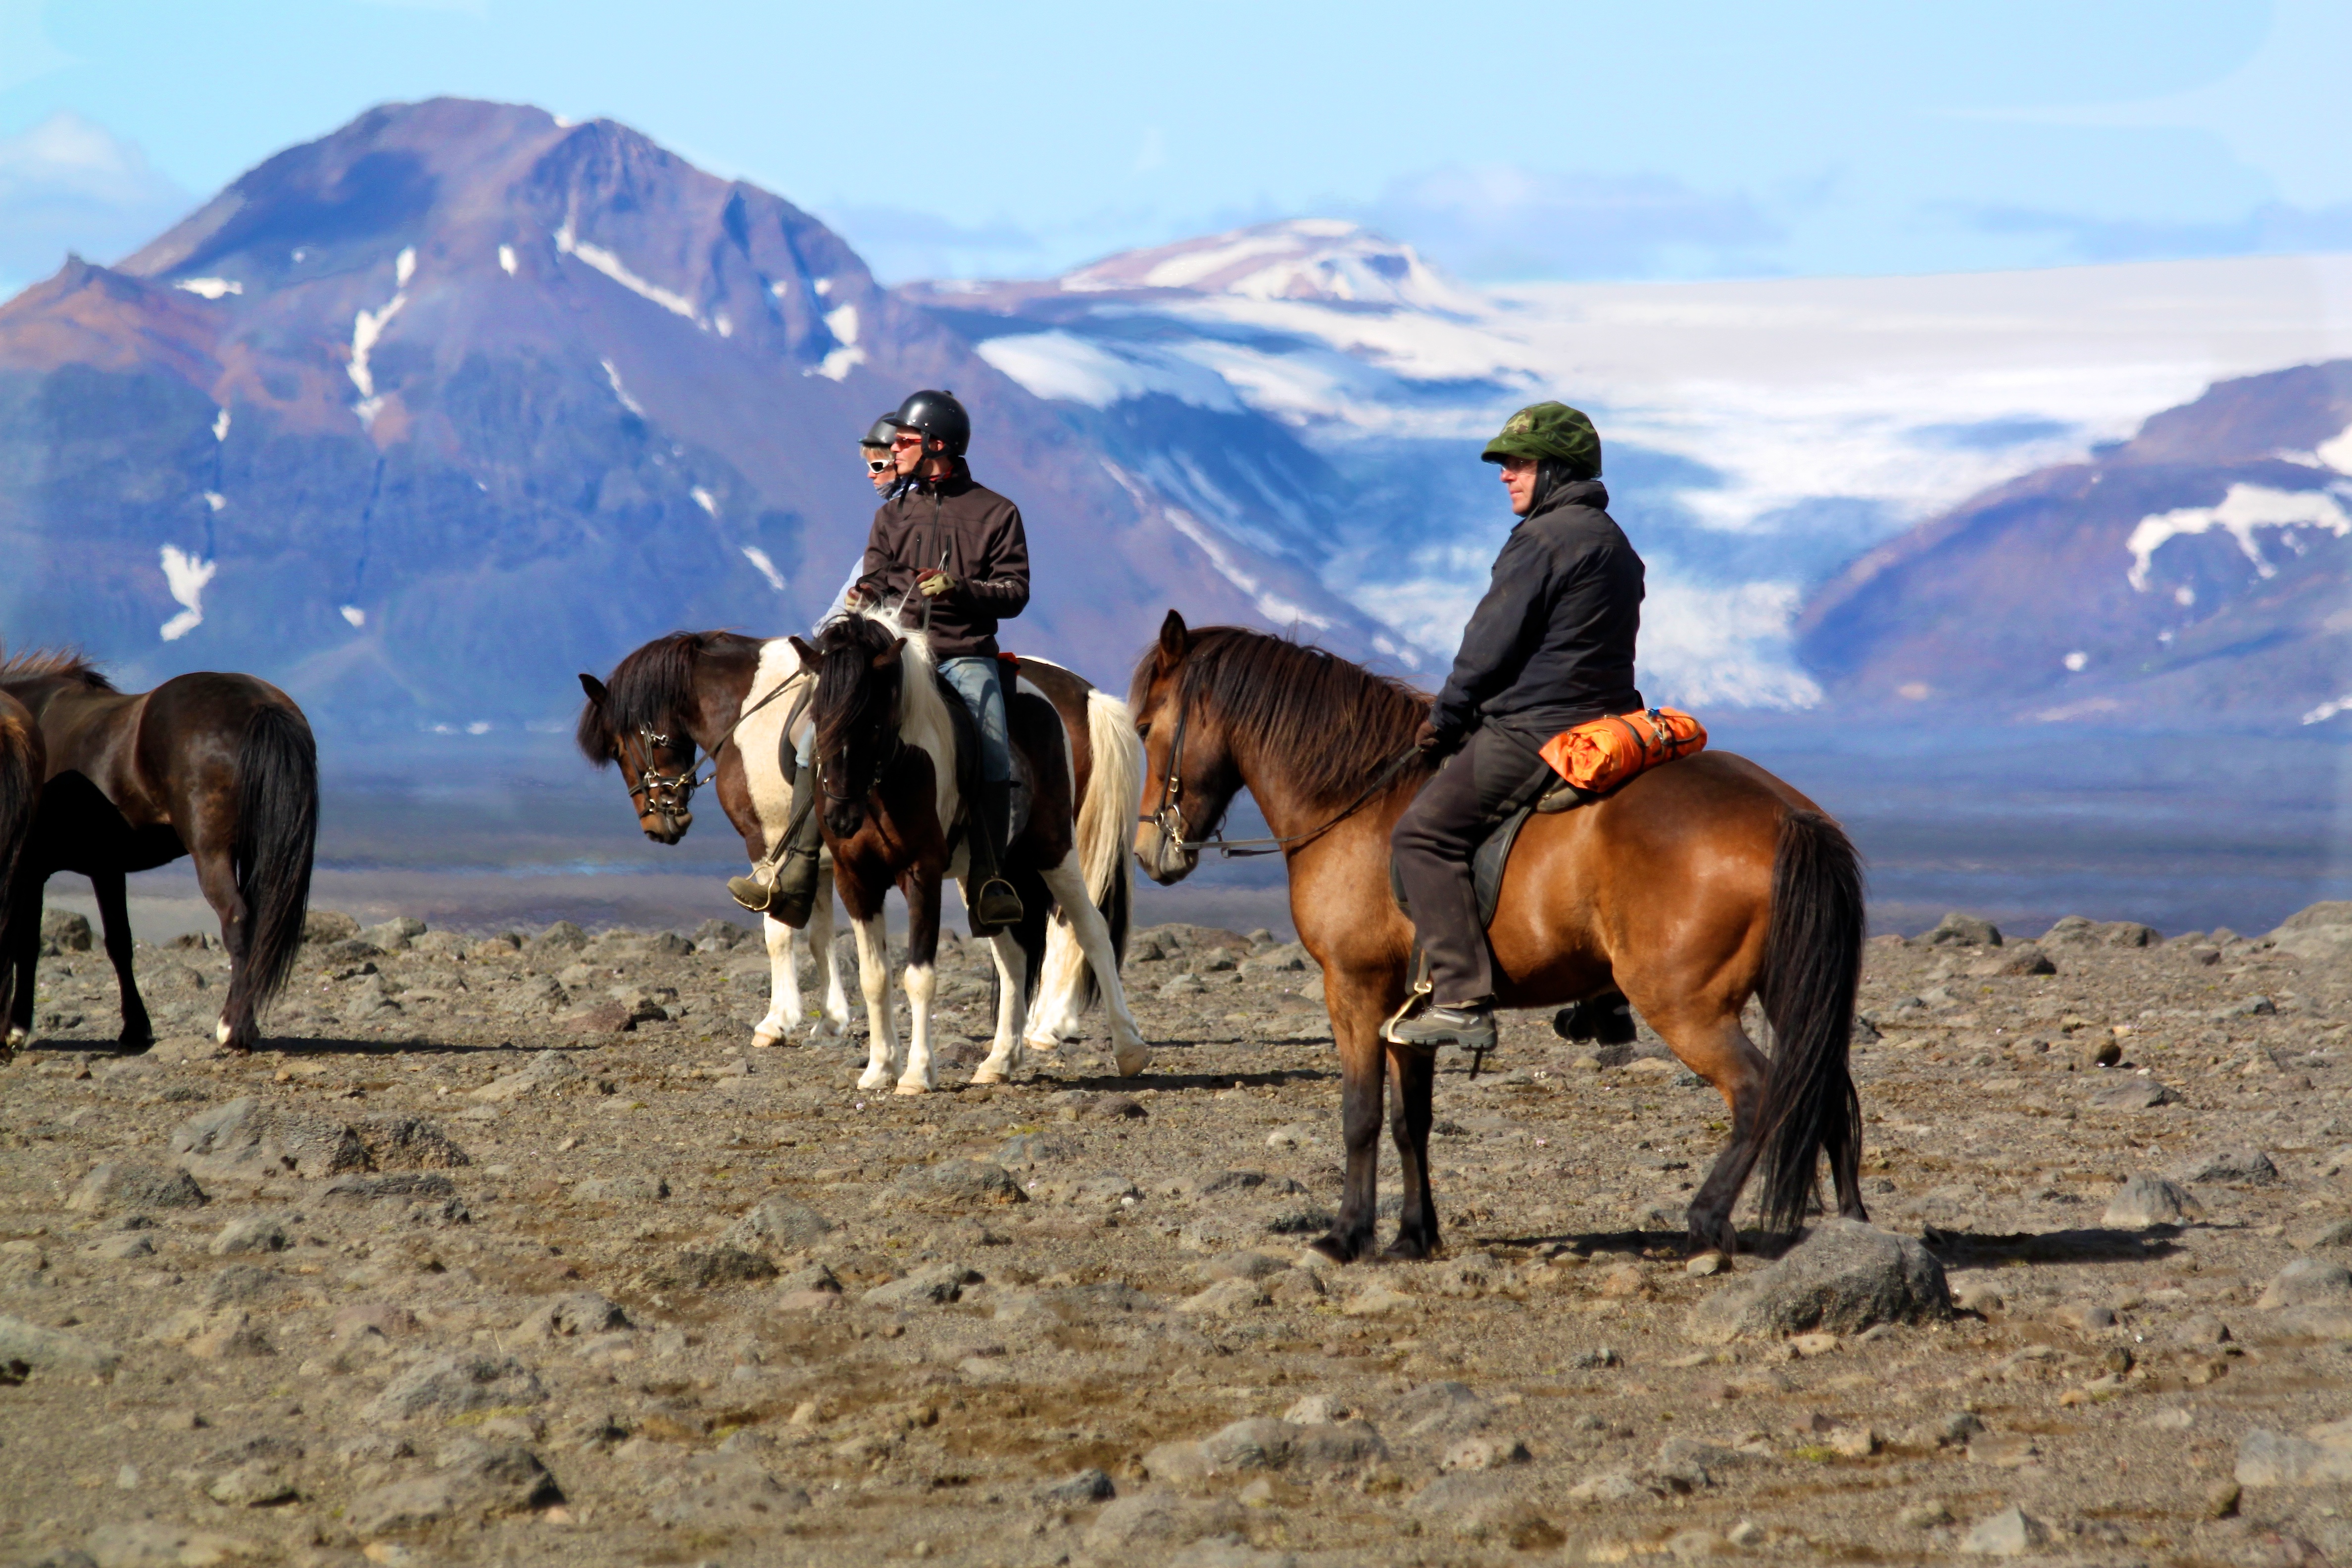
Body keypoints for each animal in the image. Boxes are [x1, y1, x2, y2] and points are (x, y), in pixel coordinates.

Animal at [2, 648, 315, 1053]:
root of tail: (260, 705)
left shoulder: (31, 868)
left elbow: (26, 944)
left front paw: (16, 1027)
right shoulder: (106, 868)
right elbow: (120, 943)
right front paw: (135, 1028)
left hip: (213, 854)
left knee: (237, 919)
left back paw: (232, 1028)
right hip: (254, 854)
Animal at [578, 630, 856, 1048]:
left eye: (616, 749)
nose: (655, 827)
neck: (749, 708)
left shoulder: (770, 845)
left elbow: (777, 931)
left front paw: (776, 1022)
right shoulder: (813, 856)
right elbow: (820, 937)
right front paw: (830, 1021)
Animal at [799, 606, 1147, 1100]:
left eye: (872, 721)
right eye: (817, 714)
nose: (840, 818)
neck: (890, 779)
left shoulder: (921, 873)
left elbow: (919, 976)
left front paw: (917, 1073)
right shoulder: (855, 879)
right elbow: (874, 977)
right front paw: (880, 1068)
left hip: (1053, 849)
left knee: (1091, 930)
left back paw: (1129, 1047)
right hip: (984, 877)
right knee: (1014, 958)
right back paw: (999, 1061)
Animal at [1128, 611, 1862, 1260]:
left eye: (1144, 727)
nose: (1146, 853)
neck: (1355, 800)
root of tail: (1788, 814)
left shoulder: (1355, 988)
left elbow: (1361, 1115)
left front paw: (1346, 1237)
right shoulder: (1410, 1011)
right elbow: (1411, 1122)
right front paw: (1413, 1236)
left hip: (1686, 1003)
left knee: (1759, 1092)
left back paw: (1707, 1221)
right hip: (1788, 989)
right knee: (1823, 1088)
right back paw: (1852, 1224)